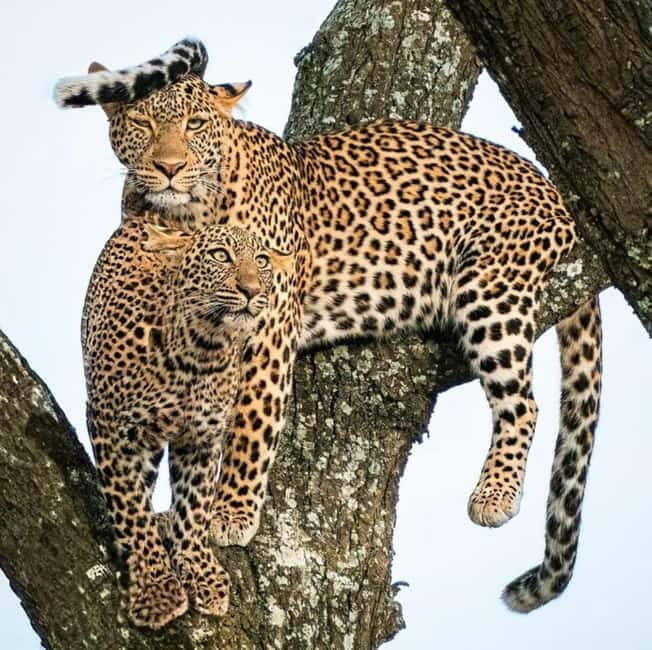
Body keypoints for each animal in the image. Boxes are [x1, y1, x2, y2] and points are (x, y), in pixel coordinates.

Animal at [82, 215, 292, 628]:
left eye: (261, 260)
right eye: (220, 255)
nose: (251, 290)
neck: (200, 350)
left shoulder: (201, 438)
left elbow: (195, 508)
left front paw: (201, 573)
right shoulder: (109, 427)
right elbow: (131, 511)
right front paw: (156, 589)